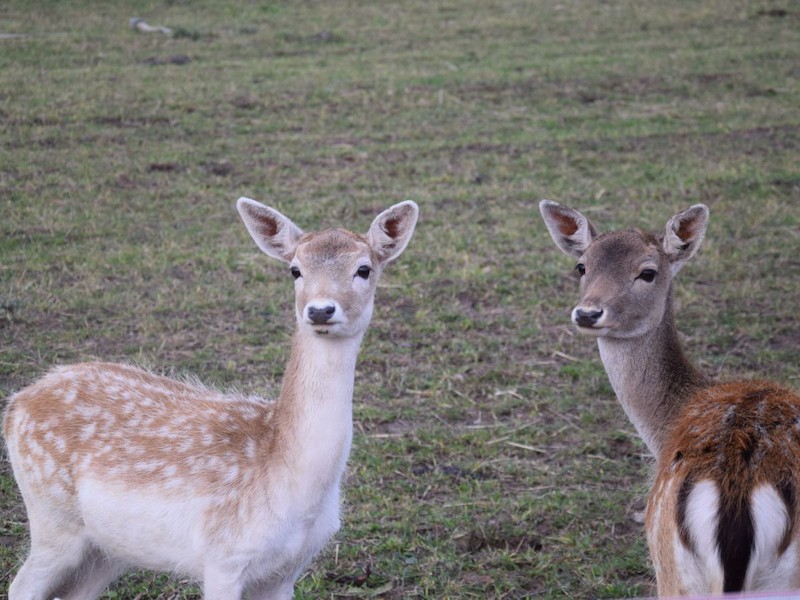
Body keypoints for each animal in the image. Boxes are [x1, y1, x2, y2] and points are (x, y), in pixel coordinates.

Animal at [3, 198, 422, 600]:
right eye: (295, 270)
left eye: (364, 269)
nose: (320, 309)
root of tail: (16, 405)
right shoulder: (223, 557)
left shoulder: (287, 570)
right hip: (52, 518)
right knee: (21, 586)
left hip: (107, 548)